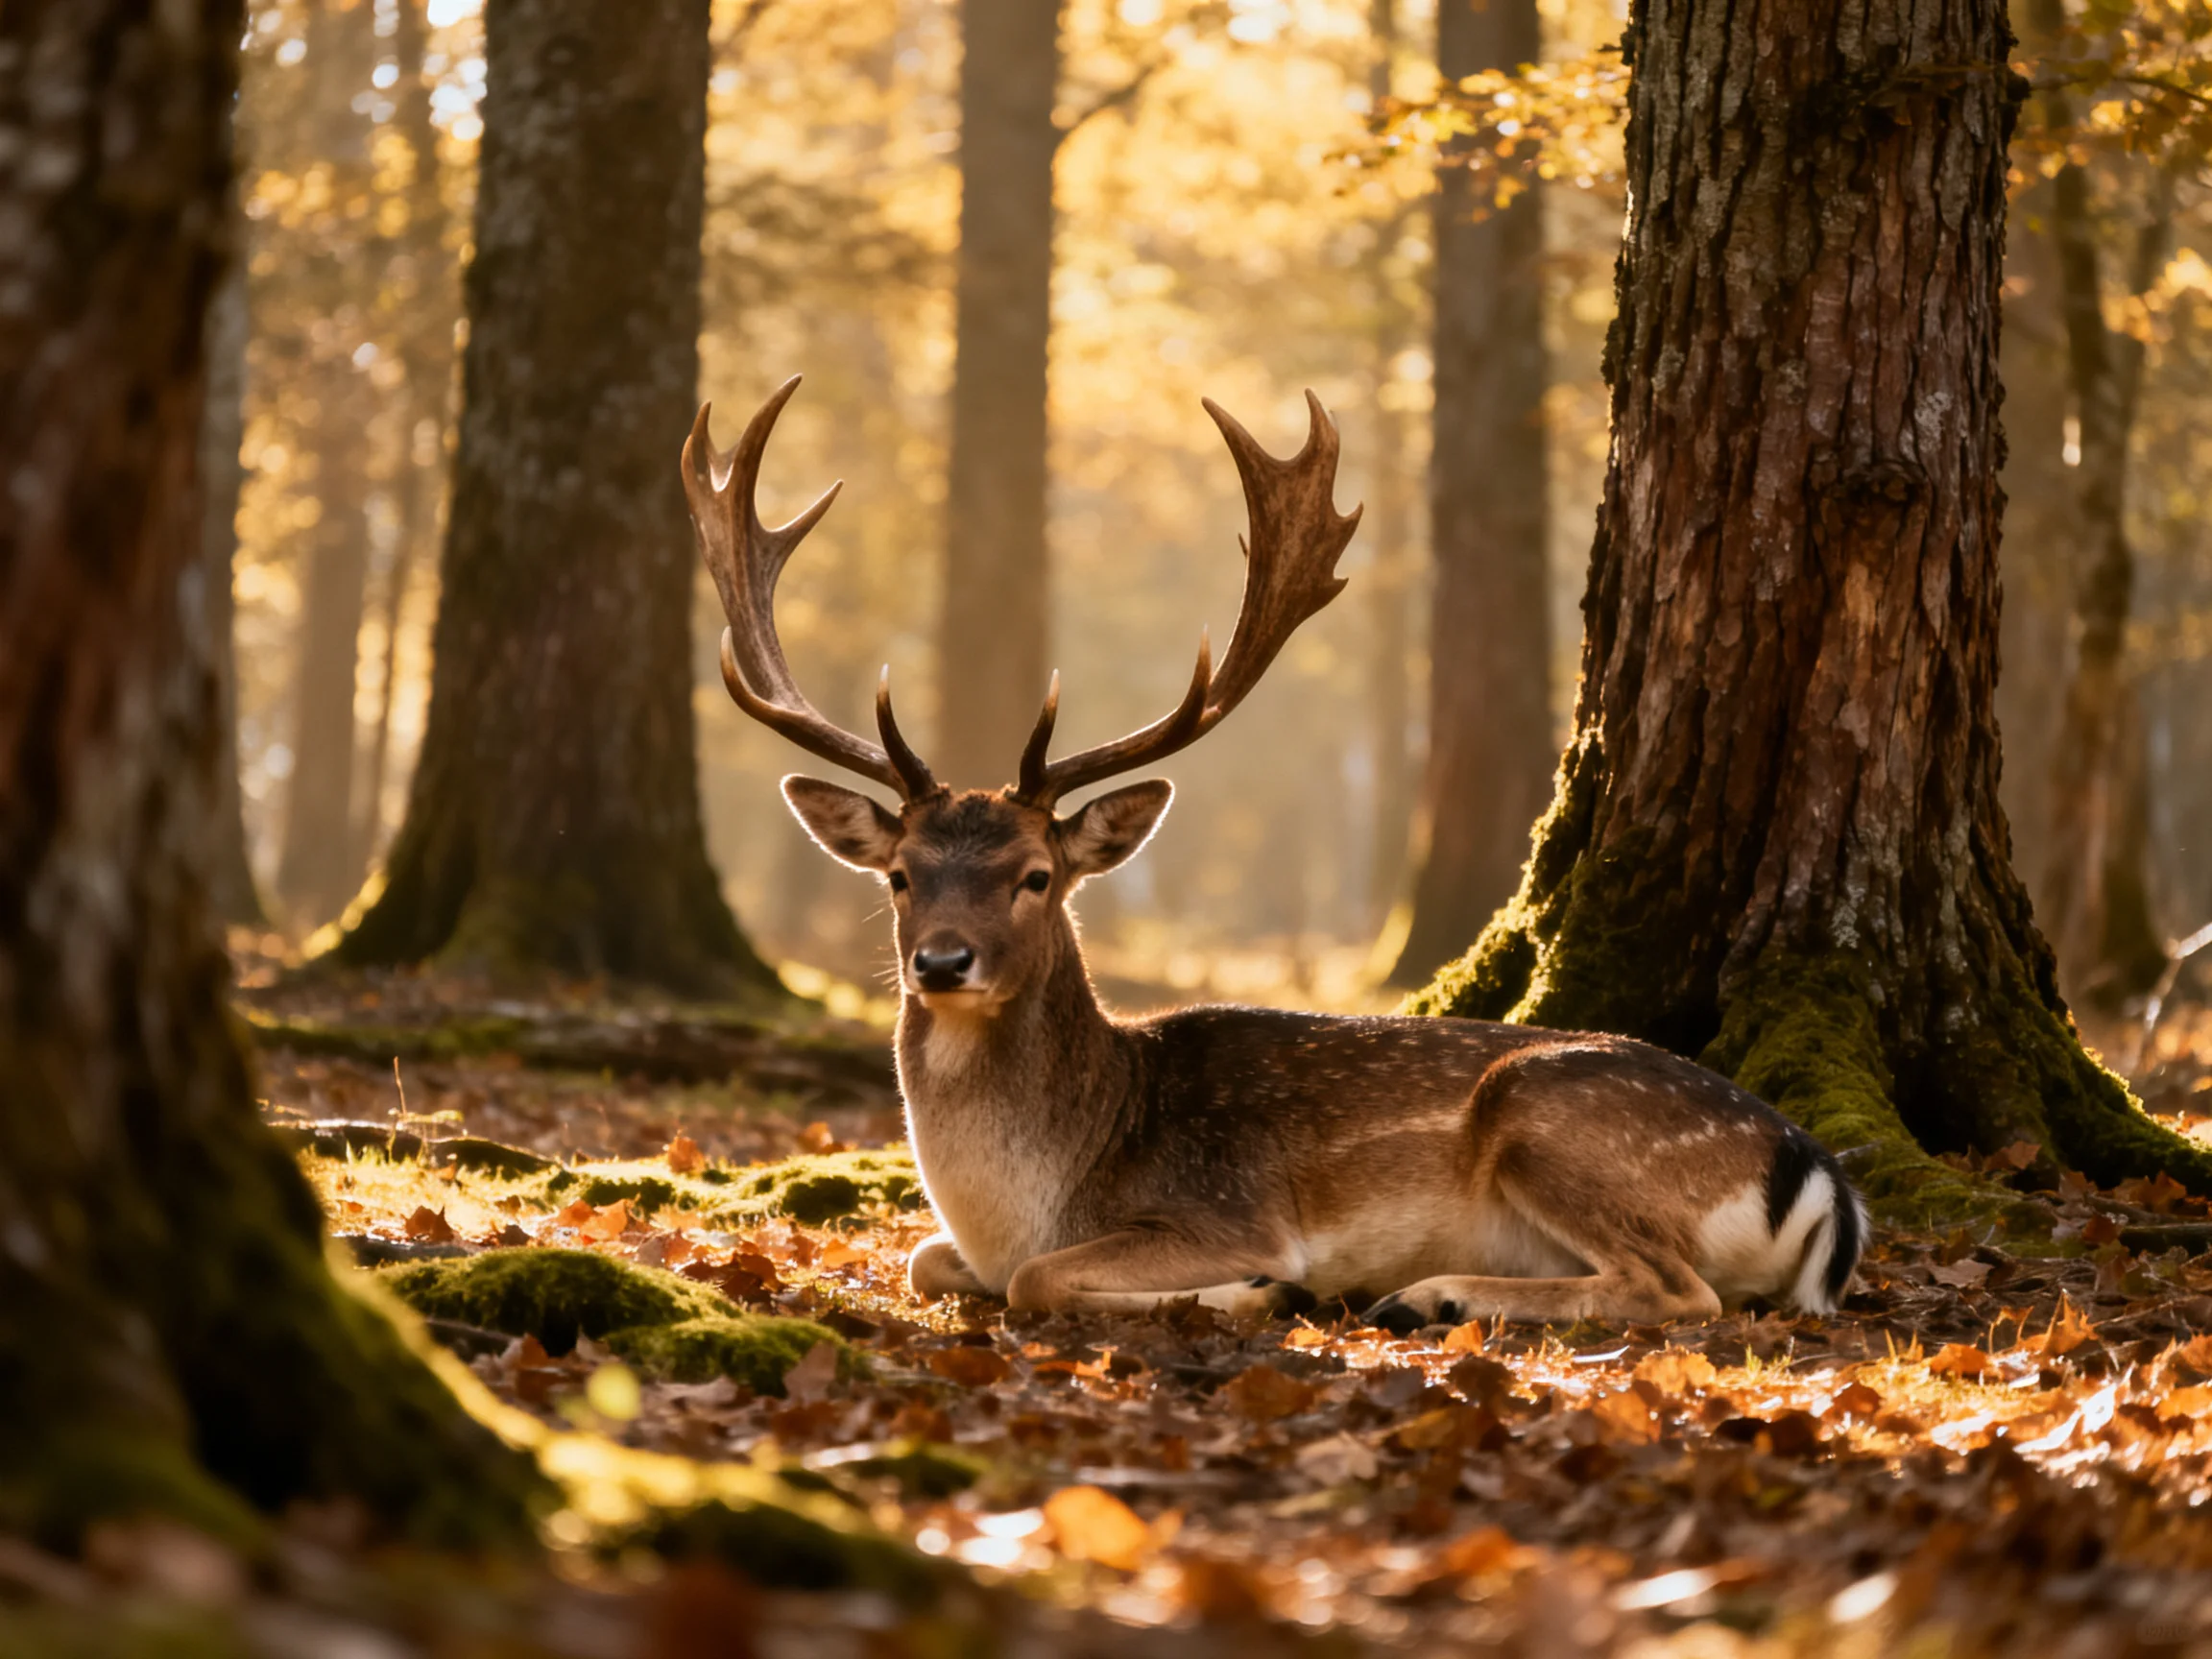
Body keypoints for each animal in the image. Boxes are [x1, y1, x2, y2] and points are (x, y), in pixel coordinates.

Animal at [682, 378, 1867, 1332]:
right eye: (899, 874)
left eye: (1036, 876)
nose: (941, 962)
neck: (1039, 1192)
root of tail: (1818, 1175)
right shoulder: (964, 1242)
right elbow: (928, 1258)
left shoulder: (1229, 1207)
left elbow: (1041, 1279)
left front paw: (1261, 1291)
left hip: (1547, 1117)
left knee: (1685, 1291)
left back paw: (1429, 1294)